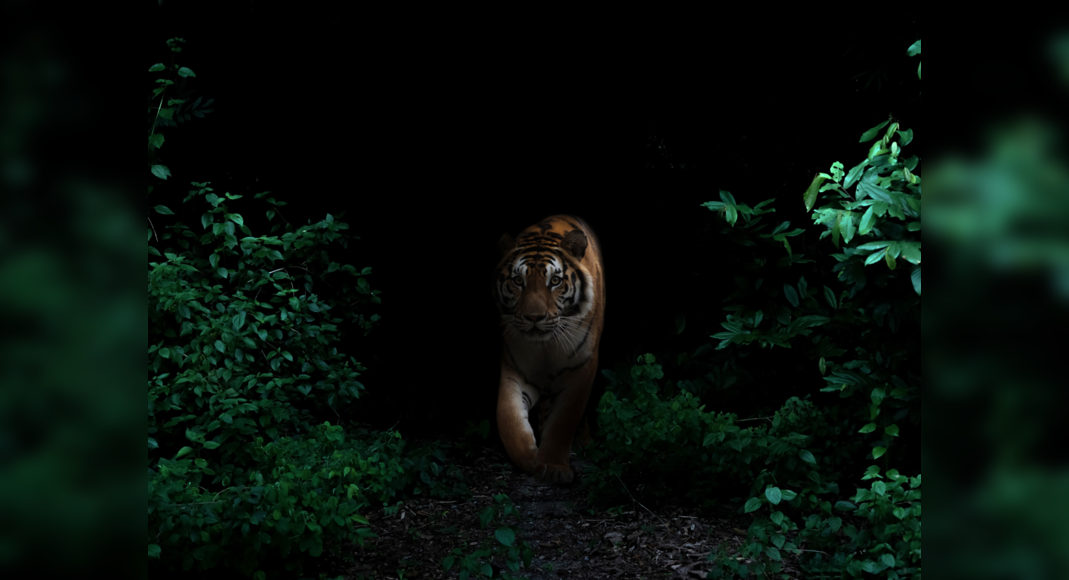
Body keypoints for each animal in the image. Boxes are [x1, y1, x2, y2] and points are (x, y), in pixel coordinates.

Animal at [493, 215, 606, 483]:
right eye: (518, 281)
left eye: (554, 281)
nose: (534, 317)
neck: (545, 347)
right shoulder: (514, 369)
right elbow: (508, 418)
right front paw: (530, 458)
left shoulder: (581, 369)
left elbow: (564, 420)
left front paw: (553, 467)